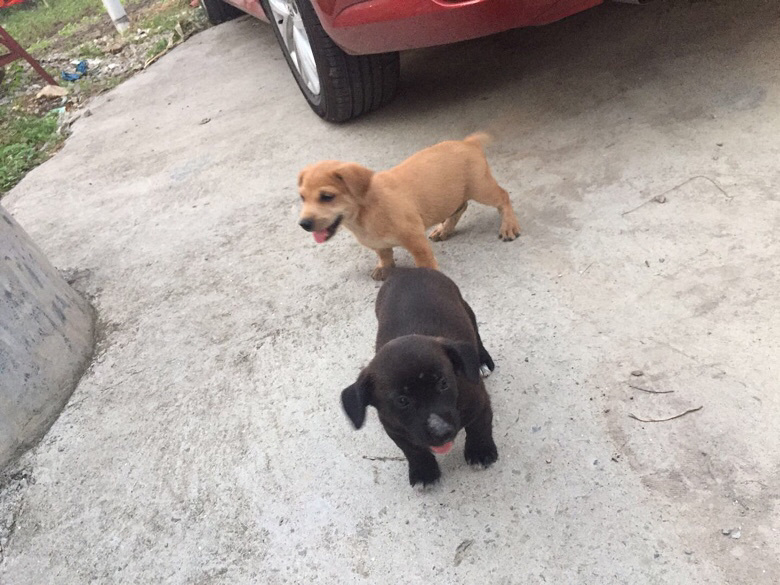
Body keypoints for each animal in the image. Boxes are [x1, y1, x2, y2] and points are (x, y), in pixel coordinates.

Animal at [297, 133, 522, 281]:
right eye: (302, 198)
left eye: (327, 197)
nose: (303, 224)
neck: (365, 212)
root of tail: (468, 142)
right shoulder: (379, 243)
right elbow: (384, 253)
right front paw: (385, 267)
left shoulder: (414, 238)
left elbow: (424, 260)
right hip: (453, 195)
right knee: (461, 207)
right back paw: (444, 229)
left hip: (480, 188)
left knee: (503, 196)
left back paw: (508, 225)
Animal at [340, 268, 498, 487]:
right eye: (402, 400)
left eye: (443, 383)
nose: (442, 432)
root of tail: (410, 270)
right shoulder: (395, 428)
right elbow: (413, 450)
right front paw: (424, 472)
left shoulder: (479, 402)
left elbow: (479, 426)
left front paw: (481, 452)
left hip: (466, 308)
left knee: (476, 333)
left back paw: (481, 360)